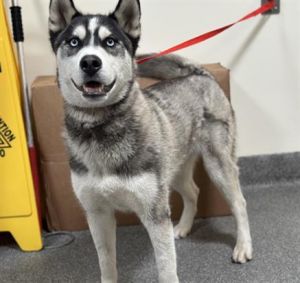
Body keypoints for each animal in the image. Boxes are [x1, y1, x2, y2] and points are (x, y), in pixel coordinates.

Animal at [48, 0, 251, 282]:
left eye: (110, 42)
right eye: (74, 42)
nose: (90, 62)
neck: (101, 129)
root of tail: (200, 74)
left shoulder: (154, 214)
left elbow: (166, 268)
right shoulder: (97, 214)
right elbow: (106, 263)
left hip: (217, 166)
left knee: (239, 202)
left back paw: (243, 246)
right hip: (173, 171)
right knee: (193, 191)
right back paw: (184, 227)